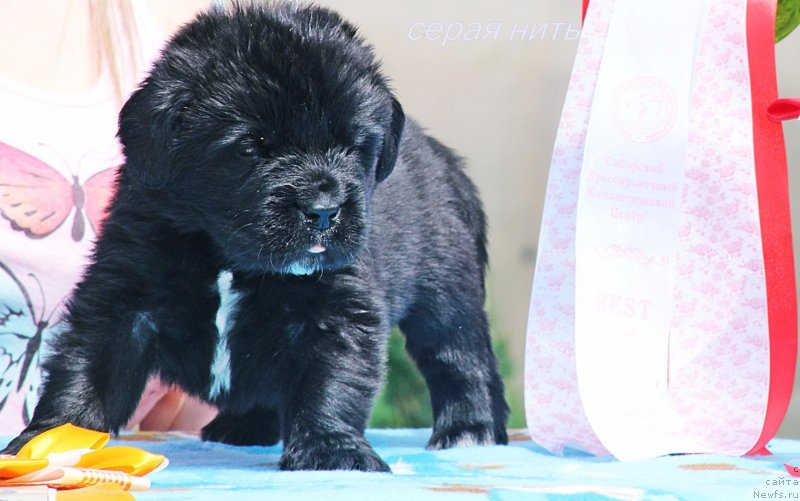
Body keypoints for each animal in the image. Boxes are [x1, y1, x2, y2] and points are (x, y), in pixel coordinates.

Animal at [1, 1, 506, 468]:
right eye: (251, 148)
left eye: (355, 146)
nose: (323, 210)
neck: (227, 257)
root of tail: (442, 156)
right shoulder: (123, 296)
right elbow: (88, 370)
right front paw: (52, 442)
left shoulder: (337, 309)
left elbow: (331, 381)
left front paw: (332, 450)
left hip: (446, 293)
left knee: (459, 357)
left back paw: (470, 429)